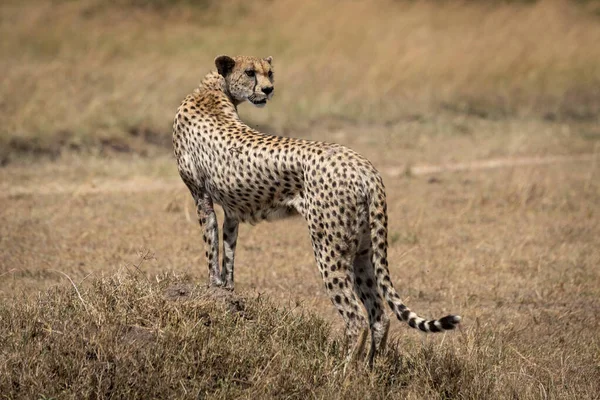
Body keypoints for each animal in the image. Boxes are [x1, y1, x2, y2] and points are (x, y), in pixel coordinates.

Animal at [171, 55, 462, 366]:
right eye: (250, 72)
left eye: (269, 72)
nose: (268, 89)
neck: (213, 90)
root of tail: (364, 166)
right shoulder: (232, 210)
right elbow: (228, 251)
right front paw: (225, 291)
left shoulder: (201, 198)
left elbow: (210, 247)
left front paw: (212, 287)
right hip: (362, 251)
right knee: (379, 313)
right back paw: (371, 369)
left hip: (328, 248)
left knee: (356, 317)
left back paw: (341, 371)